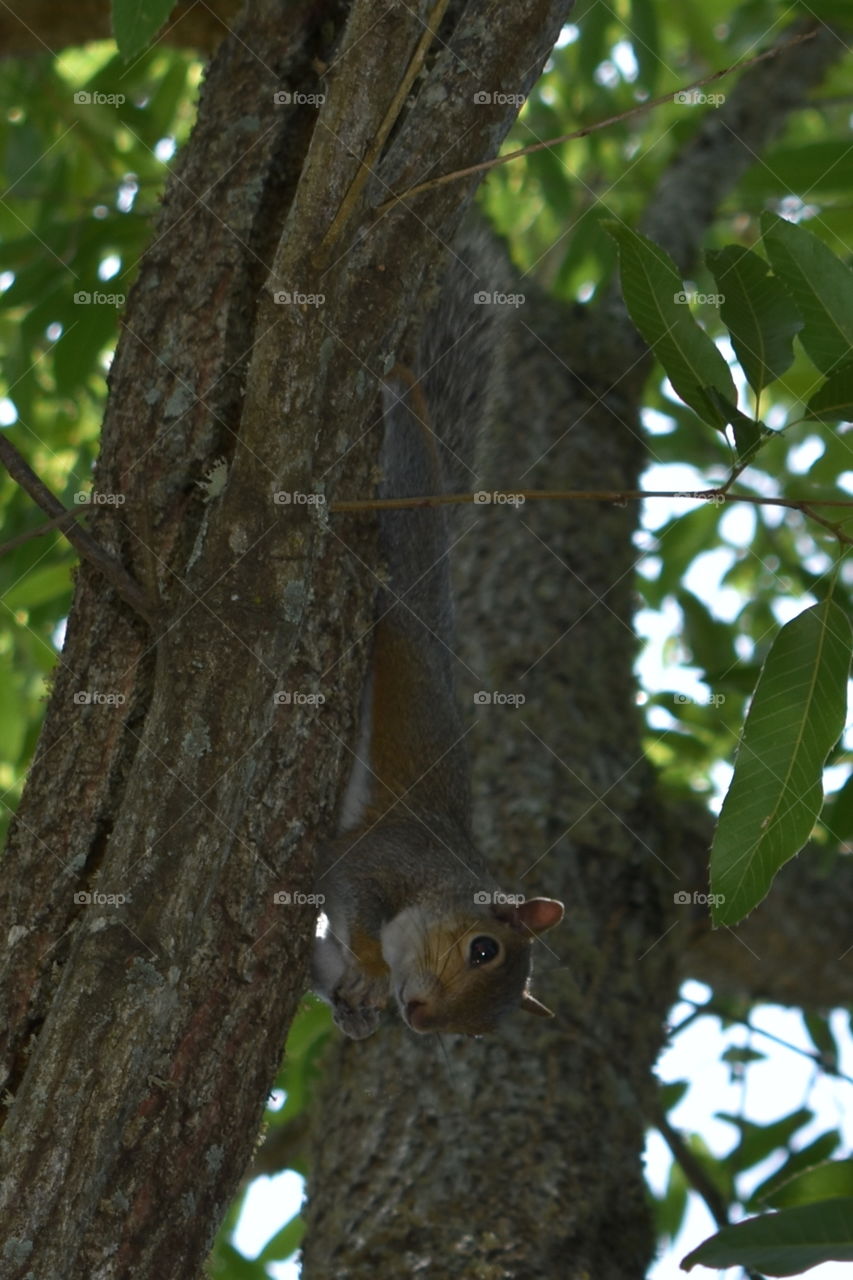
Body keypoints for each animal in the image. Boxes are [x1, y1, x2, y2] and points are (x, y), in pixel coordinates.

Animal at [312, 226, 564, 1039]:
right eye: (483, 948)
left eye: (480, 1031)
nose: (420, 1019)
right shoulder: (376, 856)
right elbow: (346, 891)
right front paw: (365, 969)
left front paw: (355, 1008)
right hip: (405, 506)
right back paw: (399, 383)